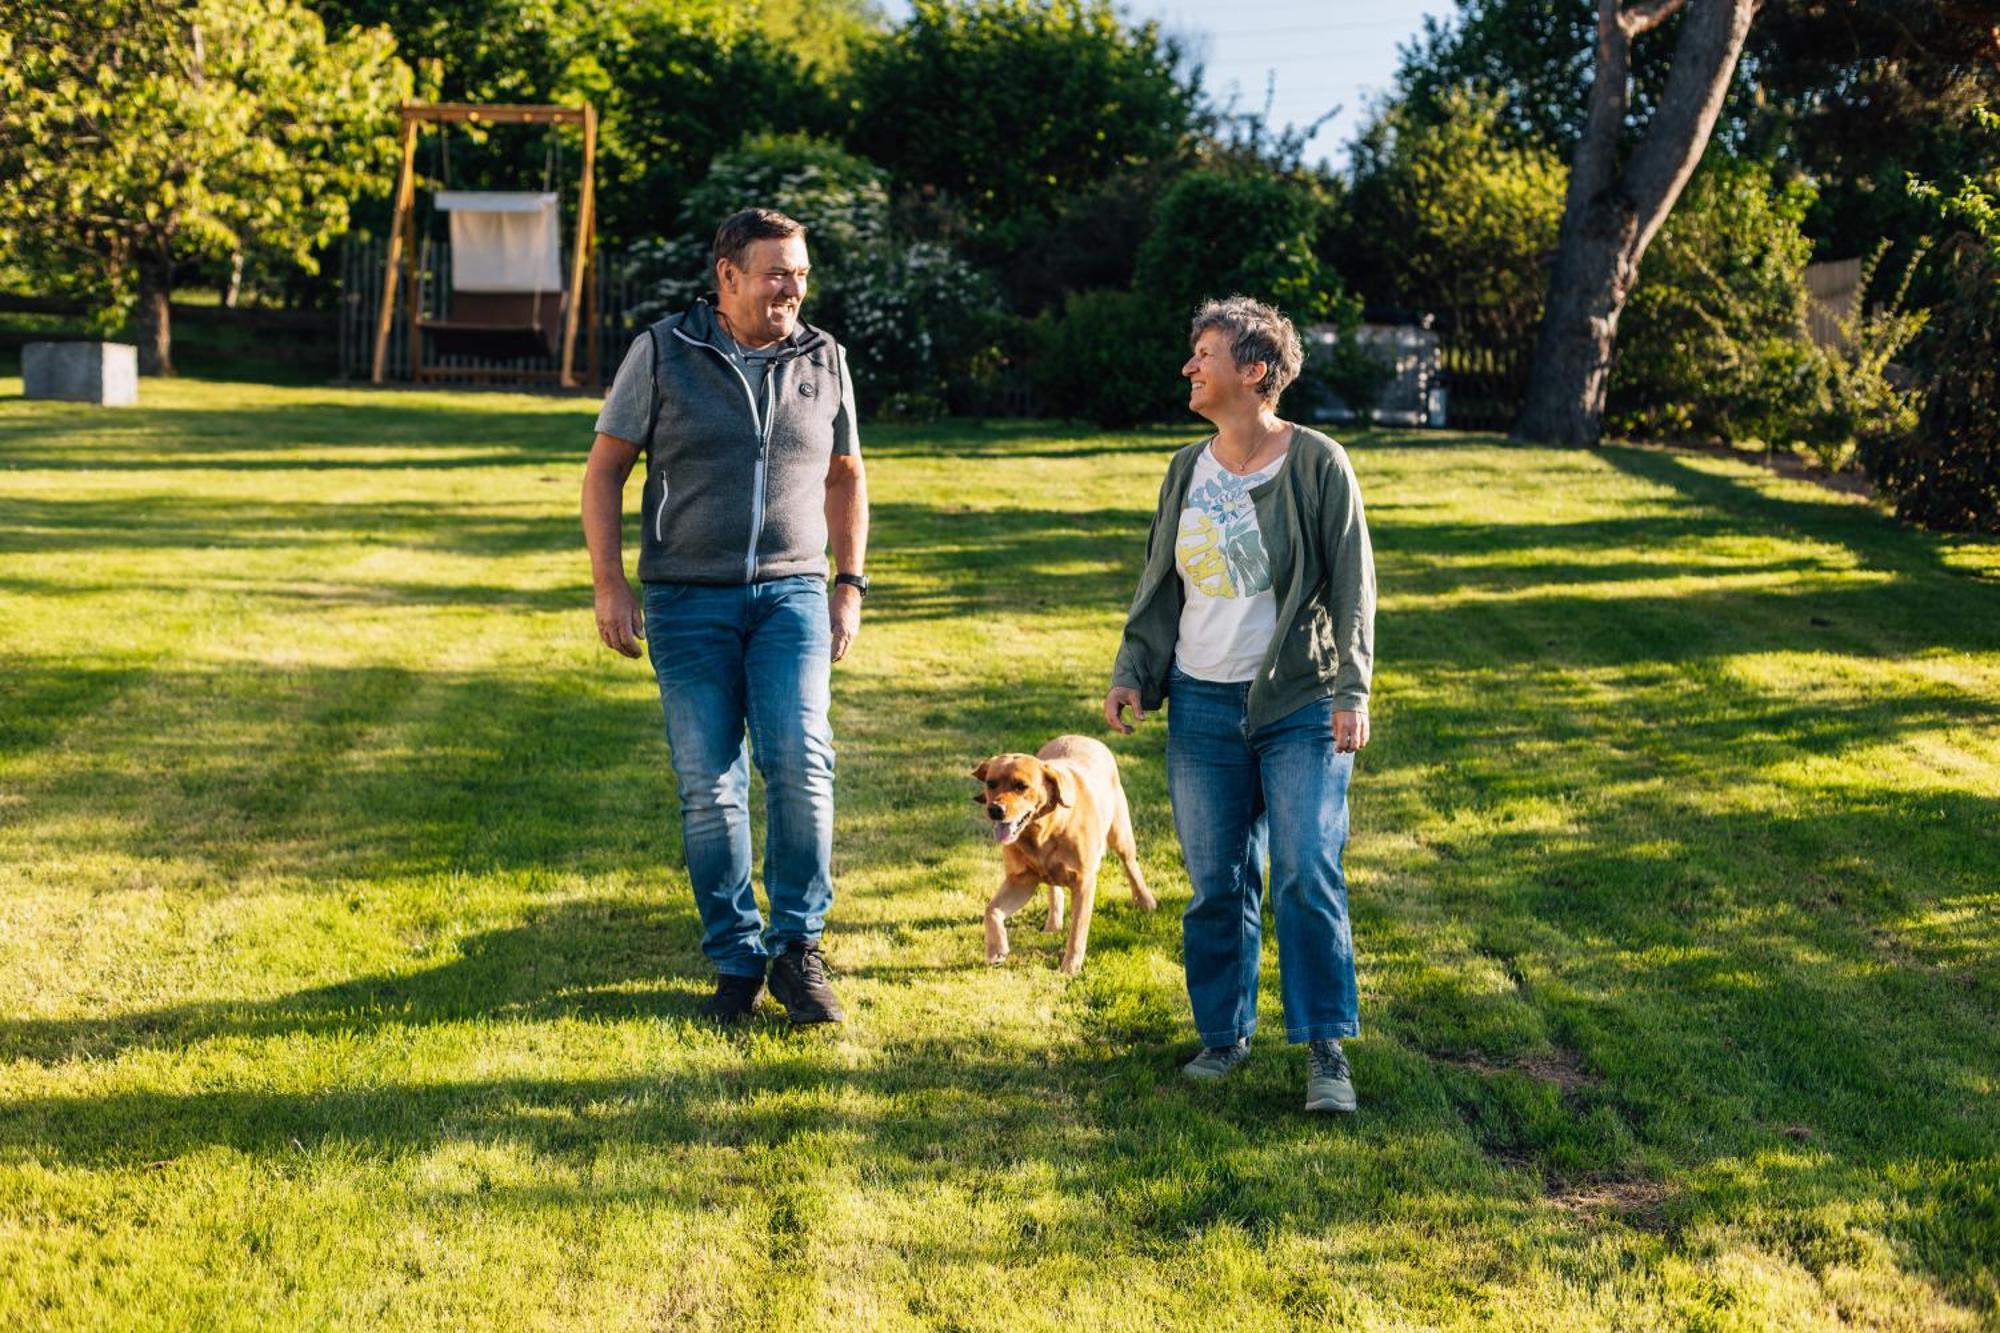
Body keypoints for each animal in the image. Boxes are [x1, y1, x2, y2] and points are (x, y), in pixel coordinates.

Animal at [972, 732, 1160, 972]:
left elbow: (1078, 930)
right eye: (991, 783)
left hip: (1120, 833)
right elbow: (991, 910)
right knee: (1054, 889)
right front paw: (996, 949)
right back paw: (1053, 922)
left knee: (1130, 864)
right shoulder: (1021, 880)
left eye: (1021, 786)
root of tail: (1081, 736)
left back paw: (1146, 901)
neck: (1044, 830)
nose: (995, 809)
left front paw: (1069, 968)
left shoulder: (1084, 882)